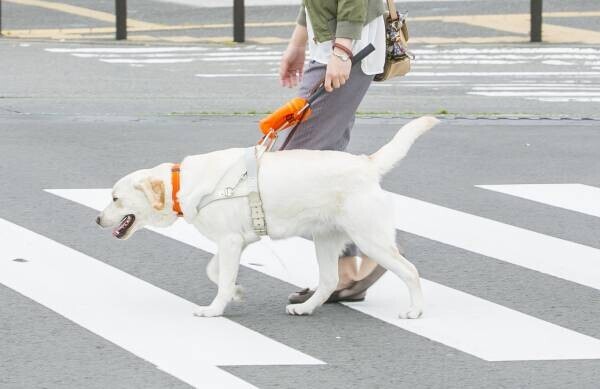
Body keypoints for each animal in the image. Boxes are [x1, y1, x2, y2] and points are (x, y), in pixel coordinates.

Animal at [96, 116, 438, 316]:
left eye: (115, 199)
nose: (97, 220)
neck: (182, 185)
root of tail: (366, 163)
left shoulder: (231, 242)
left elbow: (220, 278)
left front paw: (215, 309)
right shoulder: (236, 242)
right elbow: (215, 271)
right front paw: (235, 293)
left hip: (370, 238)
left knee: (410, 271)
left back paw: (415, 311)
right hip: (326, 238)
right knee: (329, 280)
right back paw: (307, 308)